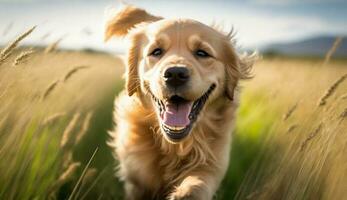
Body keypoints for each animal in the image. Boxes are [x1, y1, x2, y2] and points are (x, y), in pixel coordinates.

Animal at [106, 4, 256, 200]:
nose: (175, 74)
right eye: (156, 51)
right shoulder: (136, 179)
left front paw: (184, 192)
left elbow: (198, 182)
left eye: (202, 53)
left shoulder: (213, 162)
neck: (174, 146)